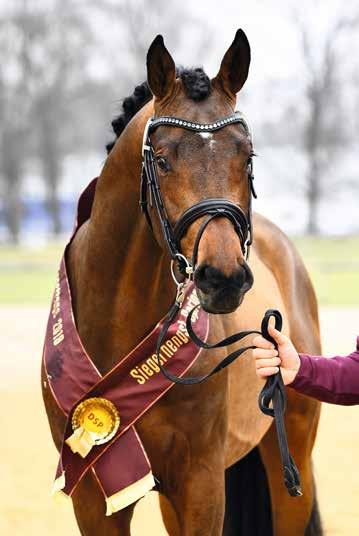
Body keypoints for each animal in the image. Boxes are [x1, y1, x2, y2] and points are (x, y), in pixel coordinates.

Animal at [42, 30, 324, 536]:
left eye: (246, 156)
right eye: (164, 160)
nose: (223, 277)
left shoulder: (201, 485)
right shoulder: (94, 494)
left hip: (291, 460)